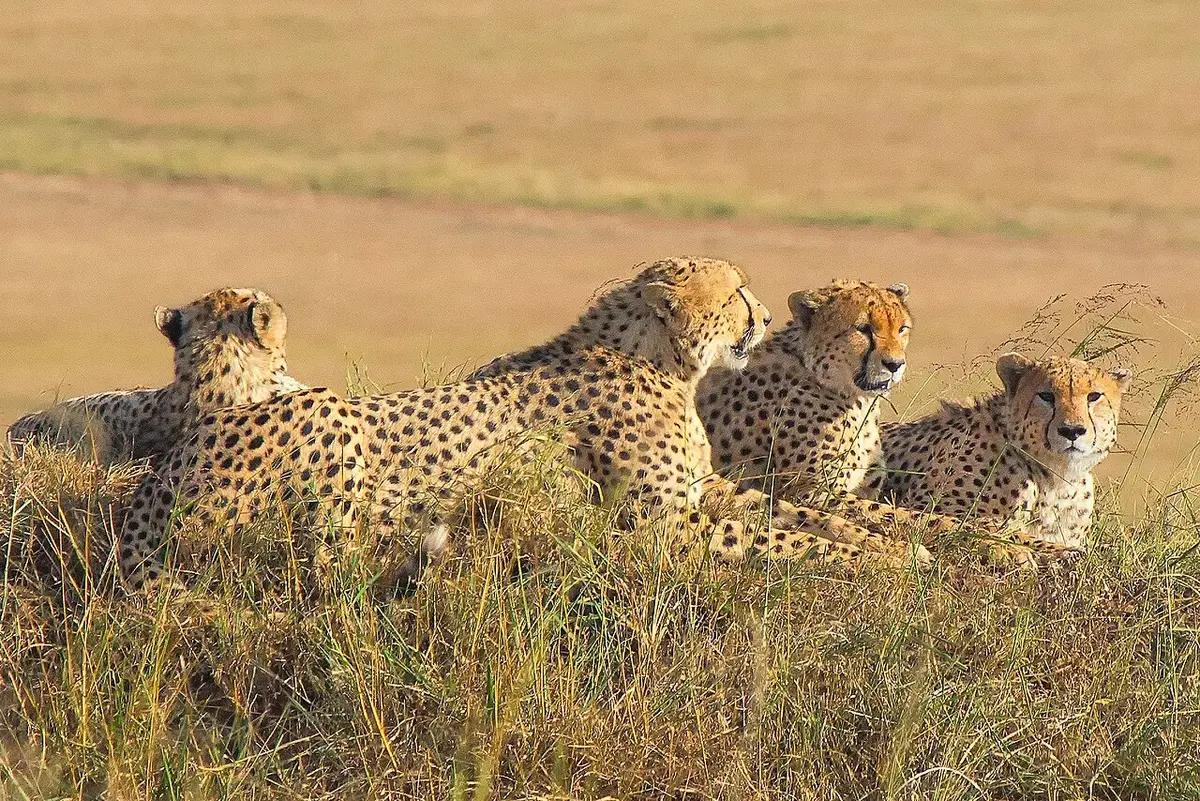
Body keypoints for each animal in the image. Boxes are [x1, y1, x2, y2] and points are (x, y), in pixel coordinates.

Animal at [117, 257, 928, 589]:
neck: (663, 361)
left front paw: (895, 544)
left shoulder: (709, 491)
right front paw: (889, 562)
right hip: (335, 422)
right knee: (332, 559)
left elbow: (801, 514)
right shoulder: (660, 529)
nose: (761, 315)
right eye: (733, 292)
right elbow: (782, 537)